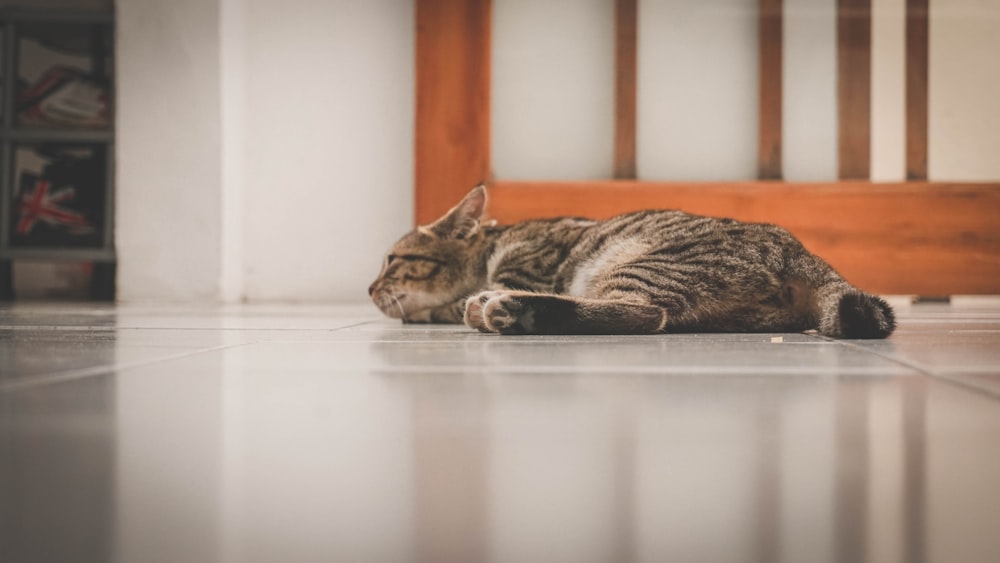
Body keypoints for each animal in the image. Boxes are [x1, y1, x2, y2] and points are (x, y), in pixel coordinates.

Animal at [370, 185, 900, 338]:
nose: (370, 288)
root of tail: (798, 249)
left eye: (392, 260)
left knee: (643, 313)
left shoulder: (523, 267)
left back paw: (512, 311)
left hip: (645, 263)